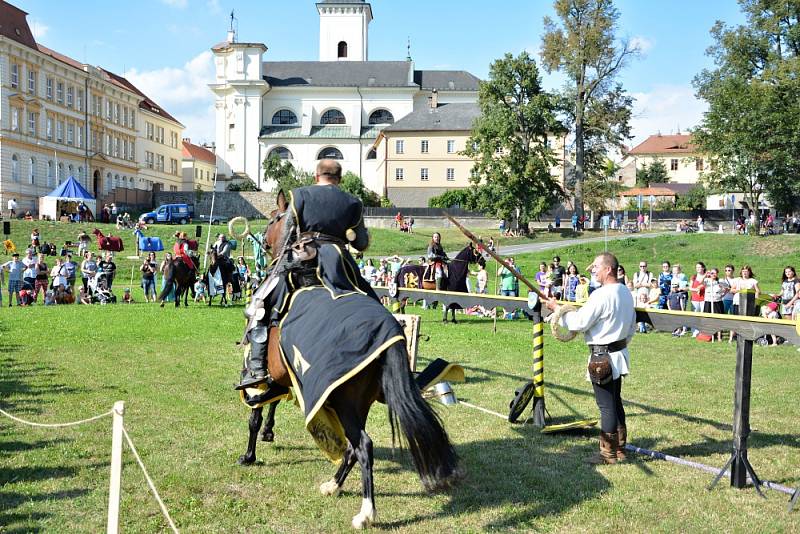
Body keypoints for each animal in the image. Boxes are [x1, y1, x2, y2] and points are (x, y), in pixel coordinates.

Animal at [238, 192, 460, 528]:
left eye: (277, 218)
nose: (263, 241)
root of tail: (390, 331)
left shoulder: (264, 376)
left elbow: (255, 412)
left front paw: (249, 454)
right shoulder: (284, 377)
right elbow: (272, 402)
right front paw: (268, 433)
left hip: (343, 402)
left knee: (363, 445)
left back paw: (366, 512)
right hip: (358, 403)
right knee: (354, 448)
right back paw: (333, 484)